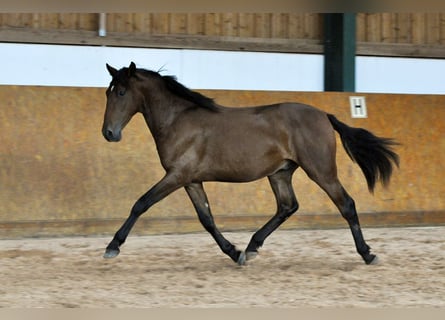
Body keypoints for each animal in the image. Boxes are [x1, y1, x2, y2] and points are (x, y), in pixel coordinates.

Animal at [101, 62, 398, 264]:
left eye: (122, 92)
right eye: (108, 92)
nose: (109, 133)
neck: (178, 119)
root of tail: (324, 115)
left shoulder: (177, 176)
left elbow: (141, 203)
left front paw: (113, 246)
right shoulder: (191, 180)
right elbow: (206, 218)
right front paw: (234, 253)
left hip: (321, 170)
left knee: (346, 204)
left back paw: (367, 254)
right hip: (280, 173)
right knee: (287, 206)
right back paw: (252, 246)